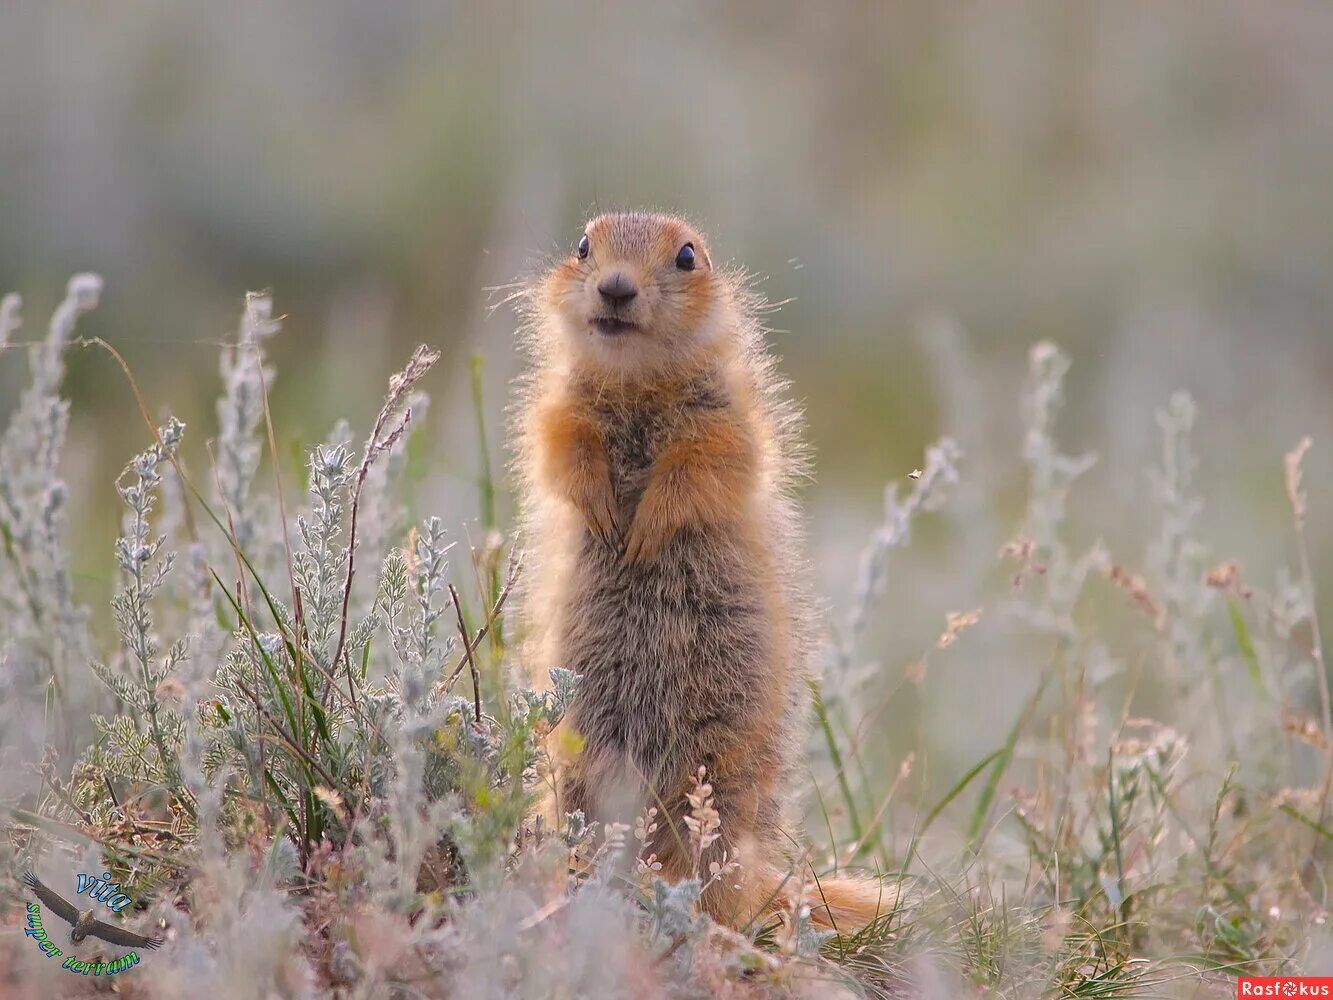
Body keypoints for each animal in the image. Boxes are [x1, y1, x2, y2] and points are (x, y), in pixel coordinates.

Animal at [514, 212, 890, 933]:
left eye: (687, 256)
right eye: (582, 246)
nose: (615, 287)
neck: (636, 384)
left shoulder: (729, 419)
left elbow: (706, 465)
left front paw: (645, 529)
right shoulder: (558, 407)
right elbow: (560, 445)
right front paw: (602, 509)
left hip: (714, 780)